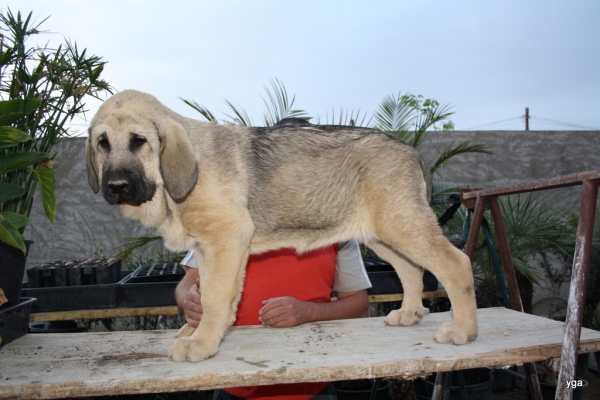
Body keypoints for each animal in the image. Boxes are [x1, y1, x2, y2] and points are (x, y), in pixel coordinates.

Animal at [85, 90, 478, 362]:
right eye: (102, 143)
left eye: (140, 141)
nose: (116, 186)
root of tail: (410, 149)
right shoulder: (209, 248)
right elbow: (207, 293)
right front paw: (197, 332)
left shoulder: (227, 240)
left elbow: (214, 297)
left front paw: (202, 343)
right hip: (384, 233)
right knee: (411, 270)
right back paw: (410, 313)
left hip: (402, 225)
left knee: (456, 264)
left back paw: (463, 329)